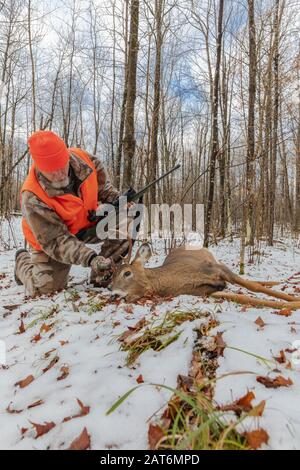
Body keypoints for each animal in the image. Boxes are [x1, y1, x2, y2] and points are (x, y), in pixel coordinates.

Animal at [110, 244, 300, 310]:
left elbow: (253, 287)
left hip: (214, 258)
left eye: (127, 272)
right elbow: (246, 298)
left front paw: (294, 300)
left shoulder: (216, 268)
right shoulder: (206, 292)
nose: (110, 289)